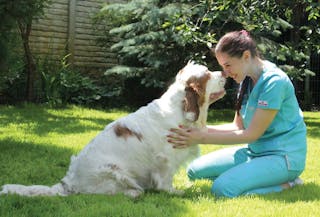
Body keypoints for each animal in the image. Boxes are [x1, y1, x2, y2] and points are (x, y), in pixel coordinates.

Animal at [0, 60, 225, 197]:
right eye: (207, 74)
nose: (223, 72)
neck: (179, 109)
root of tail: (68, 183)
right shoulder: (165, 158)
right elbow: (165, 180)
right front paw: (174, 192)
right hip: (114, 171)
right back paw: (135, 193)